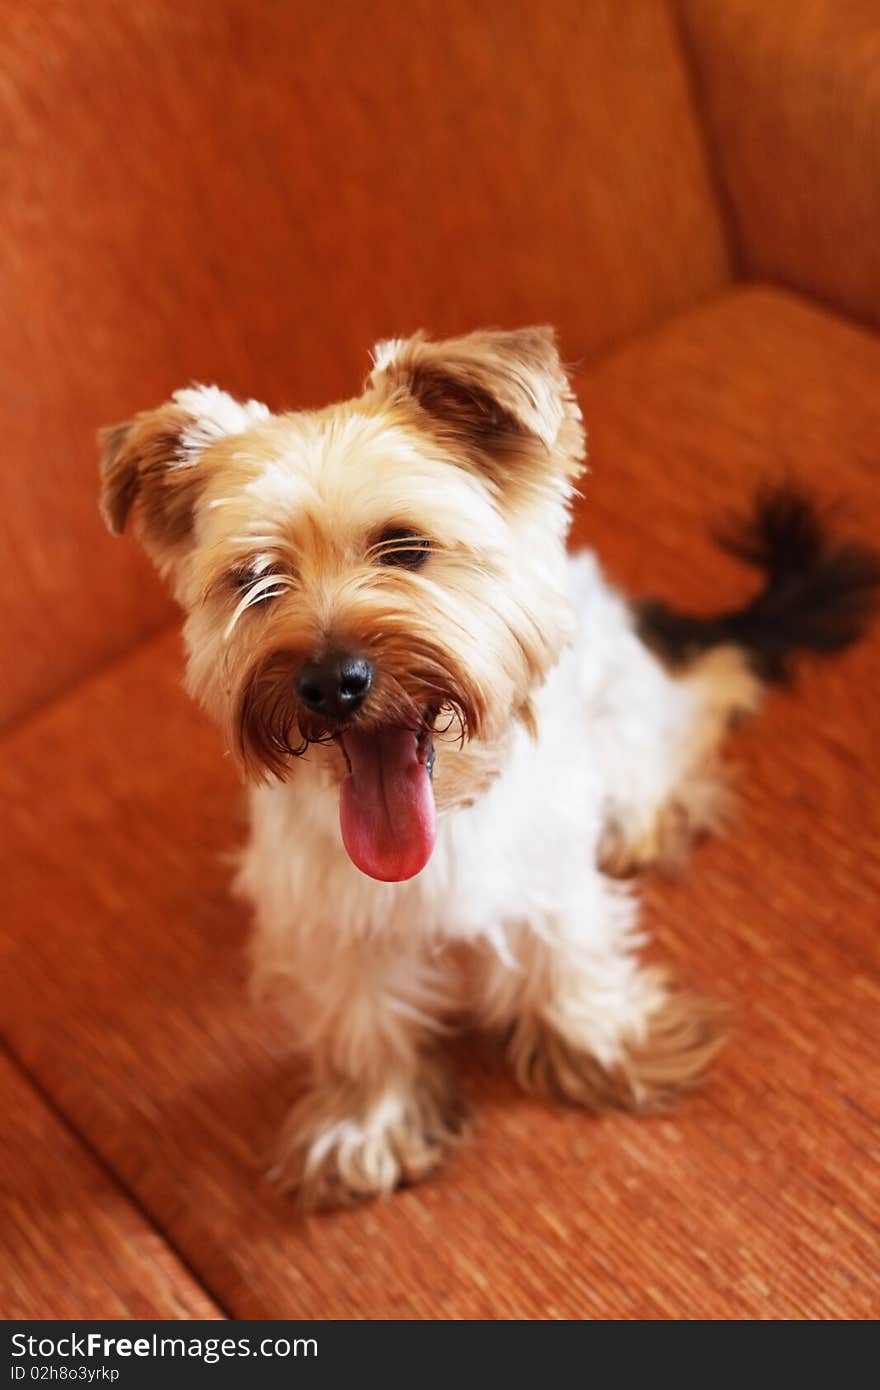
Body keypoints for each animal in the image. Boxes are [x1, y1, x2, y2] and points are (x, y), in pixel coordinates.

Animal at [98, 325, 878, 1206]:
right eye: (256, 582)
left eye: (405, 548)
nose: (330, 682)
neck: (445, 812)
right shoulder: (325, 915)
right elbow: (359, 1019)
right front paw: (369, 1123)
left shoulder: (549, 873)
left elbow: (570, 958)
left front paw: (607, 1045)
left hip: (624, 710)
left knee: (682, 727)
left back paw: (650, 818)